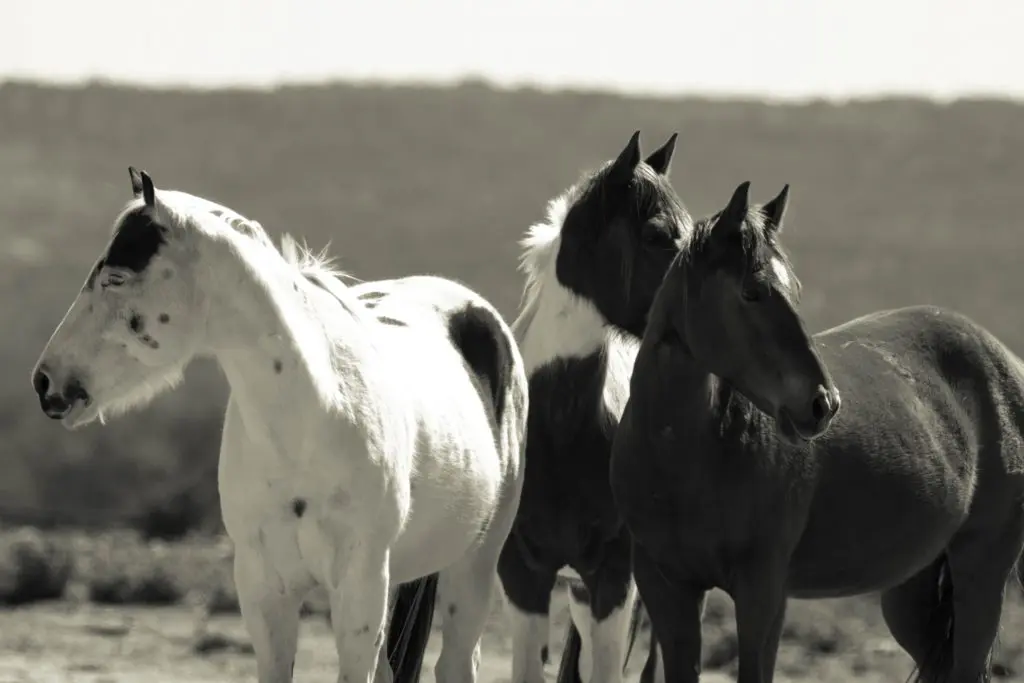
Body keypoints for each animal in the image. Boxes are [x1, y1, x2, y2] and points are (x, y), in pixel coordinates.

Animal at [31, 168, 529, 683]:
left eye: (116, 277)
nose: (46, 382)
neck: (309, 421)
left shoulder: (359, 586)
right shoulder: (264, 588)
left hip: (472, 566)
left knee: (456, 661)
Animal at [553, 165, 1024, 683]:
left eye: (793, 293)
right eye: (751, 292)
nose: (823, 404)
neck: (686, 459)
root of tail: (1004, 360)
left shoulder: (763, 592)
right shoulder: (667, 588)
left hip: (982, 568)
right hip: (912, 590)